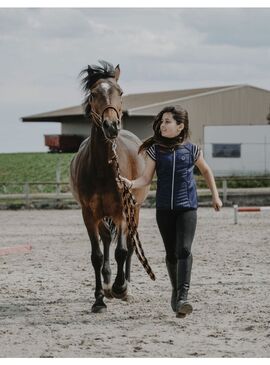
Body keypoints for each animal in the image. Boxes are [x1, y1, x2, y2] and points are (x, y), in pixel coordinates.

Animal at [69, 60, 154, 312]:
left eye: (121, 92)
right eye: (94, 93)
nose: (111, 126)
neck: (102, 169)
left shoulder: (122, 212)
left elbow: (122, 251)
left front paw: (120, 288)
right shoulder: (89, 214)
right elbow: (97, 255)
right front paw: (99, 298)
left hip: (134, 210)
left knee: (130, 247)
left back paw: (125, 286)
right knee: (107, 239)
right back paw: (107, 285)